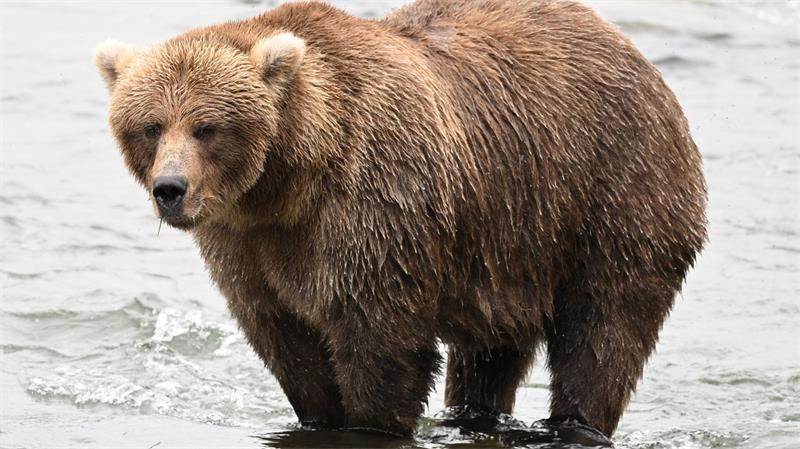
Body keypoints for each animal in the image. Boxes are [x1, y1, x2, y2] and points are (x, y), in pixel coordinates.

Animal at [94, 0, 707, 438]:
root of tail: (630, 48)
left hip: (613, 192)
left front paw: (371, 419)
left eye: (207, 126)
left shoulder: (376, 204)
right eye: (150, 125)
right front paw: (318, 412)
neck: (287, 184)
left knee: (604, 328)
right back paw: (473, 417)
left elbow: (381, 339)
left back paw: (575, 421)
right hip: (513, 239)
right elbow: (285, 338)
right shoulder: (246, 243)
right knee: (491, 350)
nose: (170, 190)